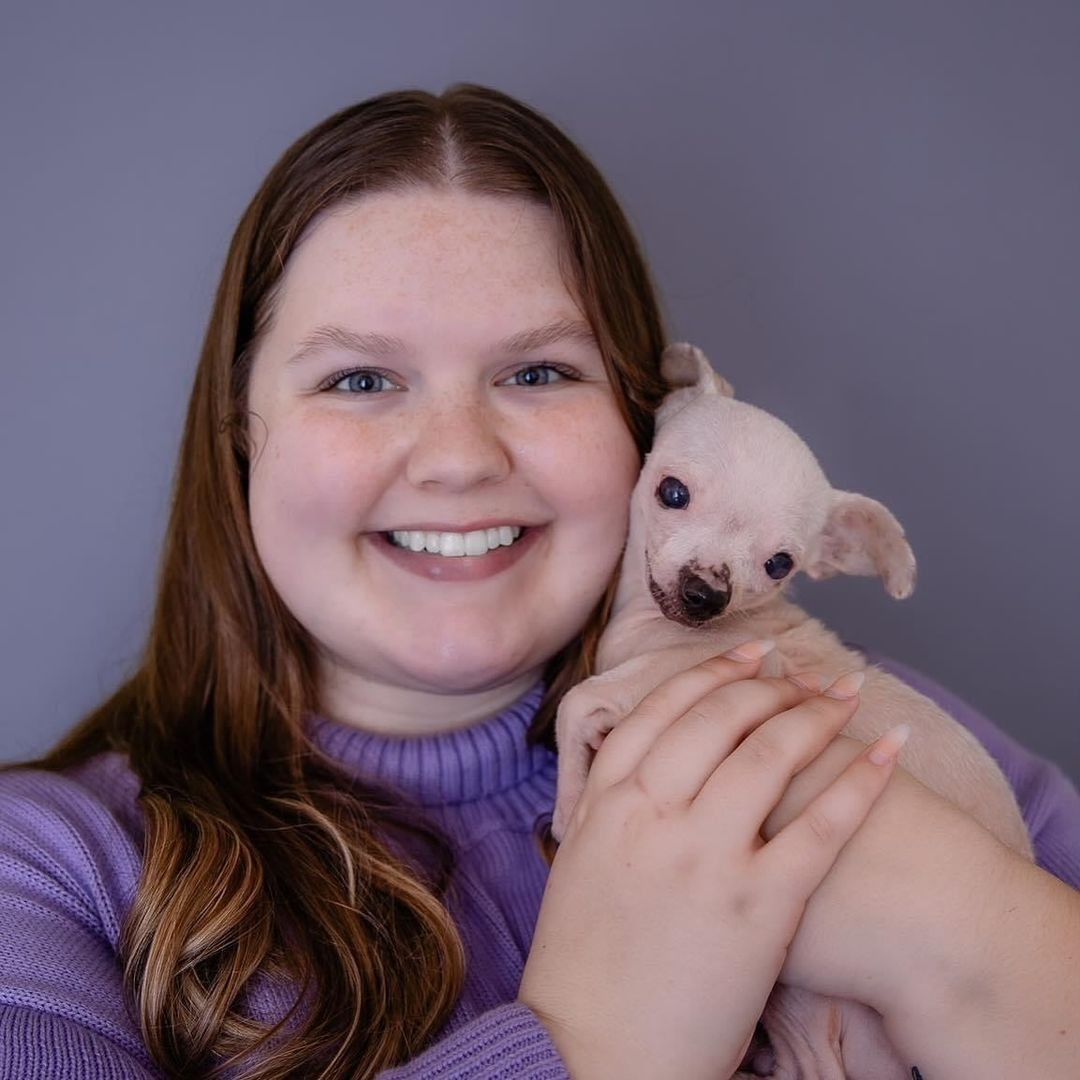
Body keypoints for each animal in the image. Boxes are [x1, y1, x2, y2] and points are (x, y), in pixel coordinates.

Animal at [552, 343, 1032, 1080]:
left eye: (780, 564)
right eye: (671, 492)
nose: (705, 594)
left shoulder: (709, 670)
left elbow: (577, 703)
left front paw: (569, 806)